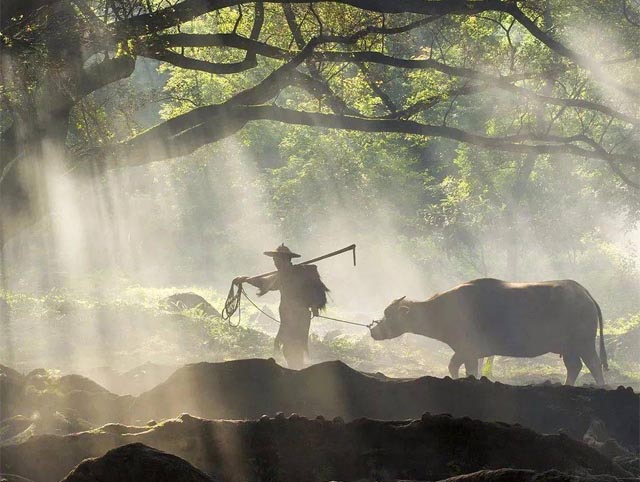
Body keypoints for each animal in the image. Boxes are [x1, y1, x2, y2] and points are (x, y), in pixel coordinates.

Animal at [368, 278, 608, 384]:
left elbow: (458, 366)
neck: (442, 310)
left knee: (594, 366)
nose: (374, 331)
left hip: (584, 343)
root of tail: (583, 292)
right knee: (574, 366)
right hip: (568, 348)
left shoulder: (466, 349)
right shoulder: (468, 353)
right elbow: (461, 367)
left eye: (389, 314)